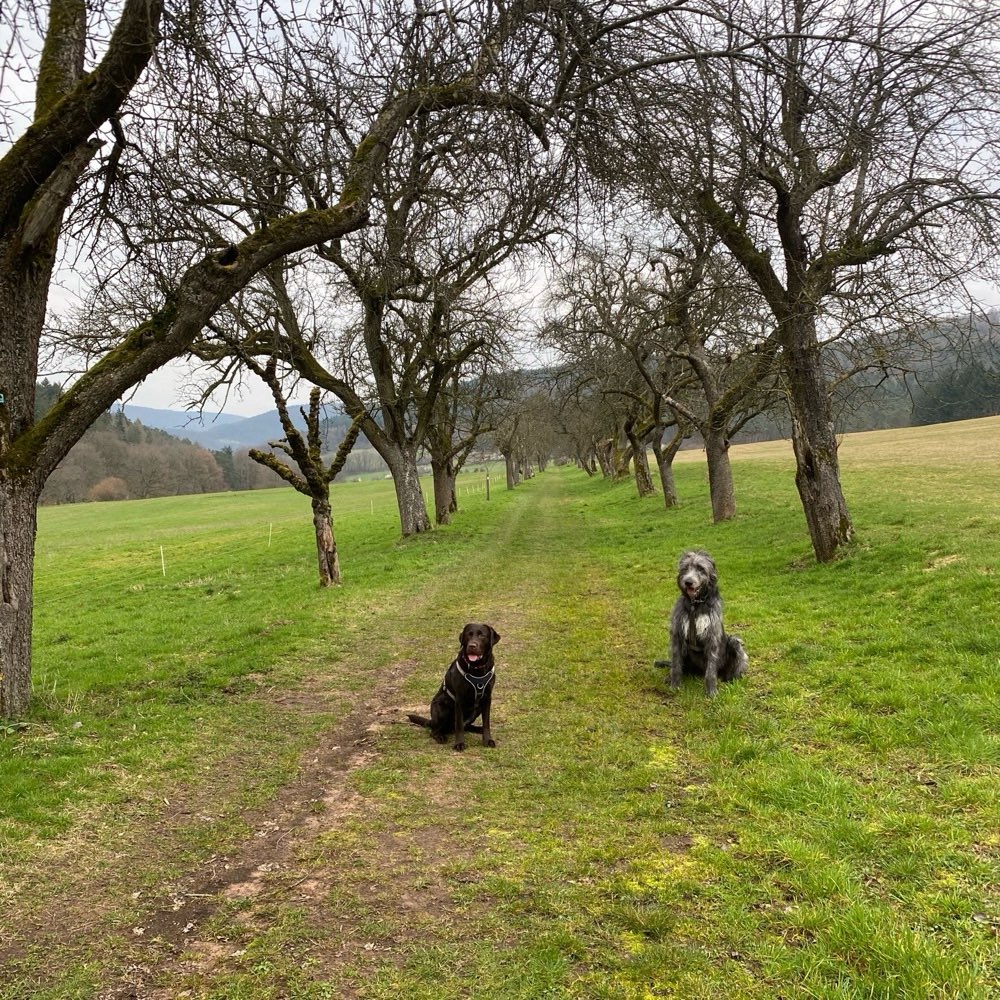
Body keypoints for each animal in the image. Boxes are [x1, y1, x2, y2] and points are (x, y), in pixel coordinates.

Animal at [652, 548, 748, 696]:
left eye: (701, 568)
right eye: (685, 568)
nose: (688, 582)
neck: (695, 604)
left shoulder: (711, 637)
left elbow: (711, 670)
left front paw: (711, 691)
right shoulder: (677, 636)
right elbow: (676, 664)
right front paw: (674, 685)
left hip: (734, 642)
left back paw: (731, 679)